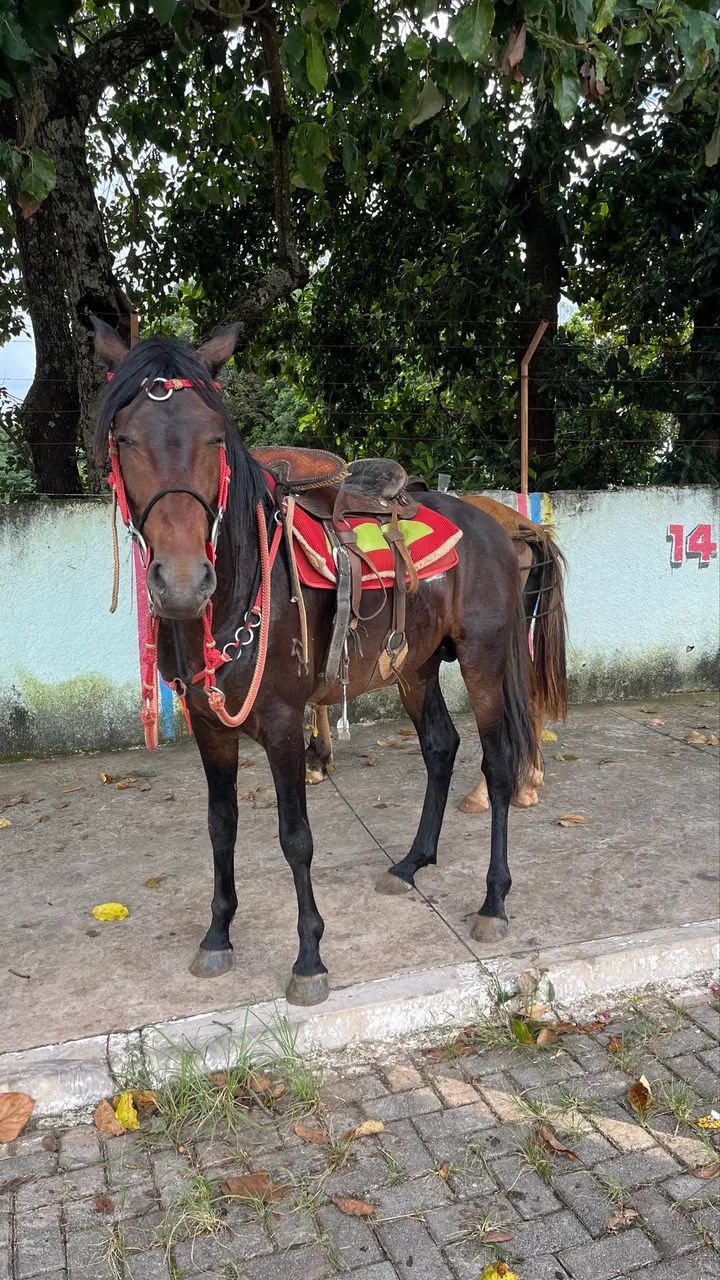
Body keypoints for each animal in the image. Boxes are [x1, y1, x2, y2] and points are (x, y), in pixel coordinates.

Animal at [92, 318, 537, 1007]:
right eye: (125, 438)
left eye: (215, 438)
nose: (184, 583)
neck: (236, 592)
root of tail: (494, 525)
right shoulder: (209, 724)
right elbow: (221, 825)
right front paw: (217, 935)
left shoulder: (281, 721)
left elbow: (295, 837)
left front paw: (308, 958)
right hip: (414, 668)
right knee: (440, 747)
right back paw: (410, 864)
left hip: (483, 662)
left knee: (495, 765)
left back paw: (493, 902)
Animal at [305, 497, 567, 812]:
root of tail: (523, 525)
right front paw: (318, 757)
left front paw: (316, 758)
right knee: (531, 690)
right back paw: (529, 781)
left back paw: (487, 791)